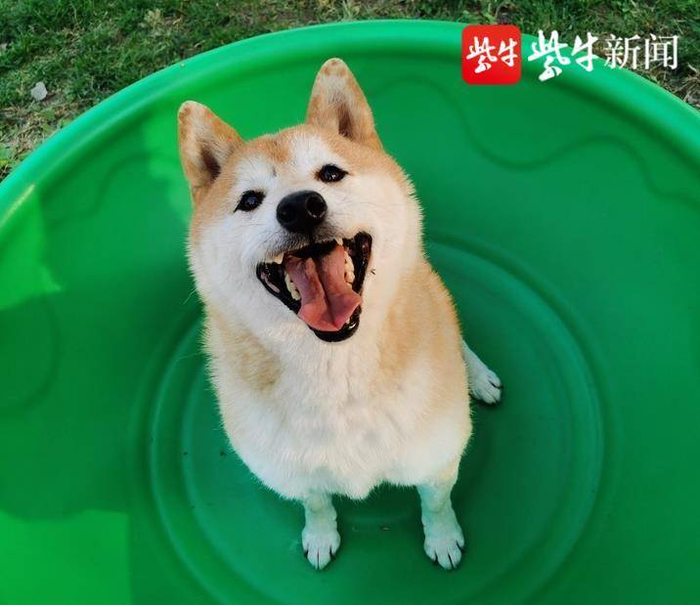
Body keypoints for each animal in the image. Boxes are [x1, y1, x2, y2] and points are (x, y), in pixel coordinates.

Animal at [178, 58, 502, 570]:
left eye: (330, 173)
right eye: (249, 200)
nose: (299, 207)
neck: (337, 372)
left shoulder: (435, 456)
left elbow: (436, 503)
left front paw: (444, 538)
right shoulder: (293, 470)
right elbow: (317, 503)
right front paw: (320, 536)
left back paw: (477, 375)